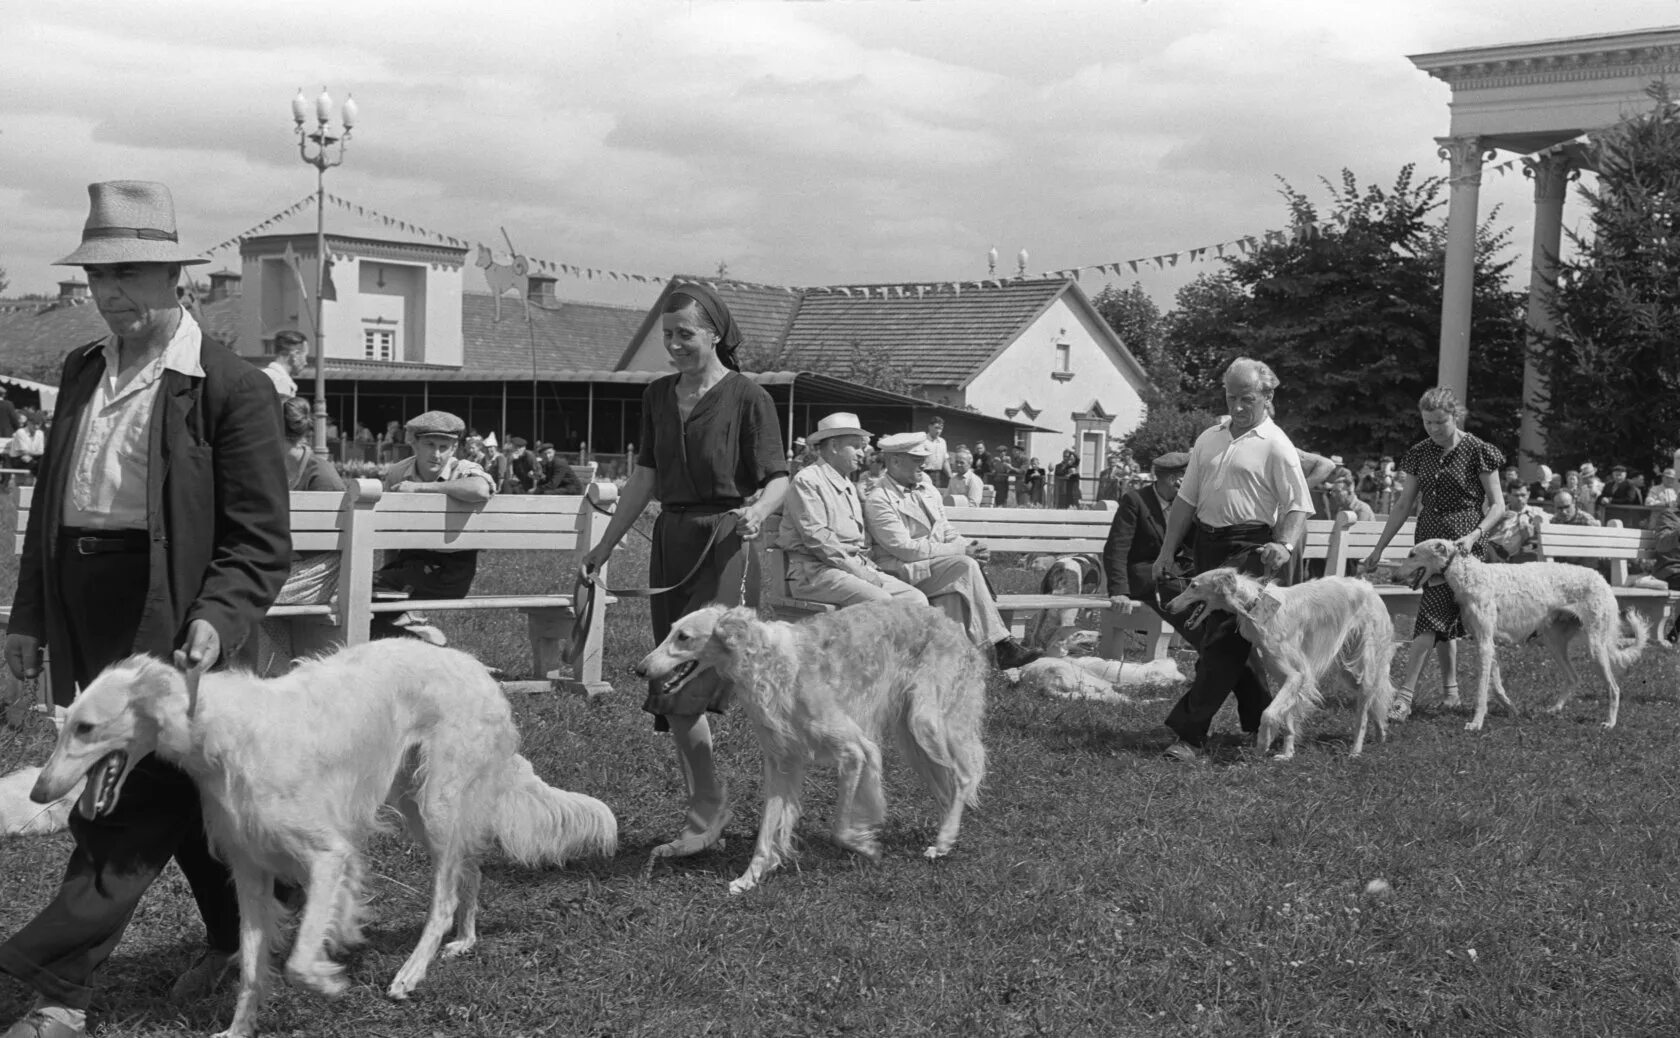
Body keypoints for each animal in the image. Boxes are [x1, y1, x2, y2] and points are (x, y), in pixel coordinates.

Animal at [27, 638, 618, 1034]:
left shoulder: (330, 854)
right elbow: (252, 966)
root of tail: (479, 671)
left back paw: (411, 973)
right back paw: (464, 941)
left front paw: (331, 979)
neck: (225, 732)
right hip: (421, 803)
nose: (36, 792)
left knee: (445, 897)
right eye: (64, 723)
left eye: (86, 727)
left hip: (439, 802)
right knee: (468, 873)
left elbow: (296, 961)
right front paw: (238, 1029)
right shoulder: (249, 868)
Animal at [638, 594, 981, 893]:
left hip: (925, 723)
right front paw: (749, 878)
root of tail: (954, 624)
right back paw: (944, 834)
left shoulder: (855, 750)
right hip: (911, 738)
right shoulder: (780, 761)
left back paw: (944, 841)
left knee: (964, 776)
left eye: (683, 637)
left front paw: (867, 846)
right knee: (946, 788)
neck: (768, 664)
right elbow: (767, 831)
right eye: (669, 630)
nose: (639, 669)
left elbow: (839, 829)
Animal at [1162, 560, 1397, 755]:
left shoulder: (1296, 675)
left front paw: (1264, 742)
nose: (1167, 606)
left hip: (1365, 667)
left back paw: (1355, 750)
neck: (1254, 604)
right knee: (1376, 701)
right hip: (1349, 672)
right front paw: (1286, 754)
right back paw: (1381, 732)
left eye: (1194, 585)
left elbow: (1268, 713)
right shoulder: (1289, 678)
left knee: (1363, 714)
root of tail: (1371, 588)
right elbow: (1288, 719)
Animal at [1391, 540, 1653, 728]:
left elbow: (1481, 691)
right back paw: (1554, 710)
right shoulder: (1487, 643)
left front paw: (1476, 723)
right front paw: (1511, 709)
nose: (1393, 577)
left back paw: (1610, 722)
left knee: (1614, 688)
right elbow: (1496, 686)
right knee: (1573, 677)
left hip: (1595, 645)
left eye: (1412, 554)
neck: (1471, 575)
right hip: (1553, 641)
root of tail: (1603, 580)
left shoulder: (1484, 643)